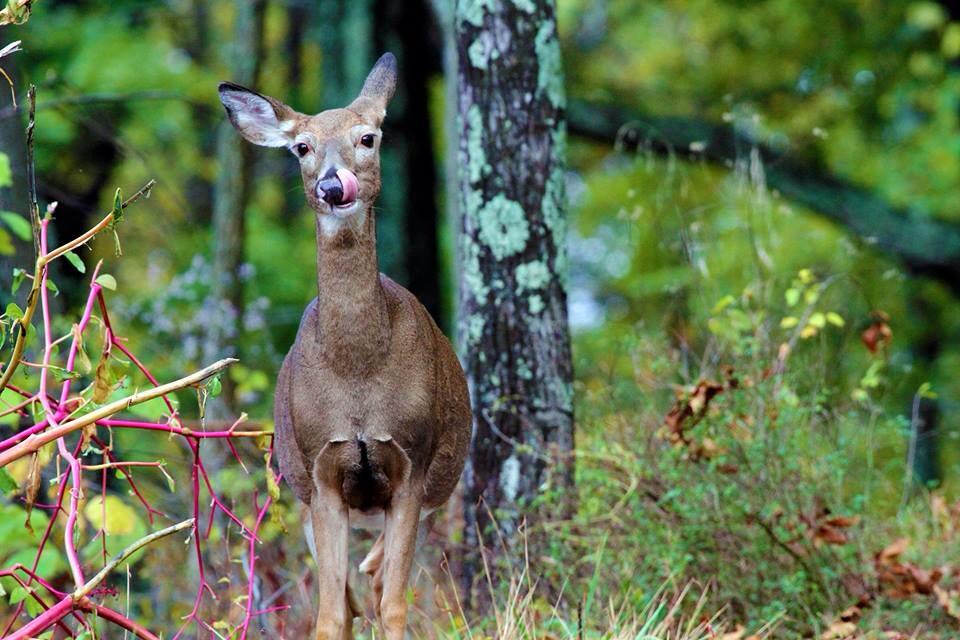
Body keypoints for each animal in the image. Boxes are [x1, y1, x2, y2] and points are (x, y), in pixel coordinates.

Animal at [218, 55, 472, 640]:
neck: (357, 372)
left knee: (378, 578)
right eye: (301, 147)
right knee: (355, 591)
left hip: (438, 483)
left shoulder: (414, 460)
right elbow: (332, 613)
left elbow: (394, 602)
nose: (333, 186)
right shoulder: (319, 471)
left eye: (368, 137)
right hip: (300, 484)